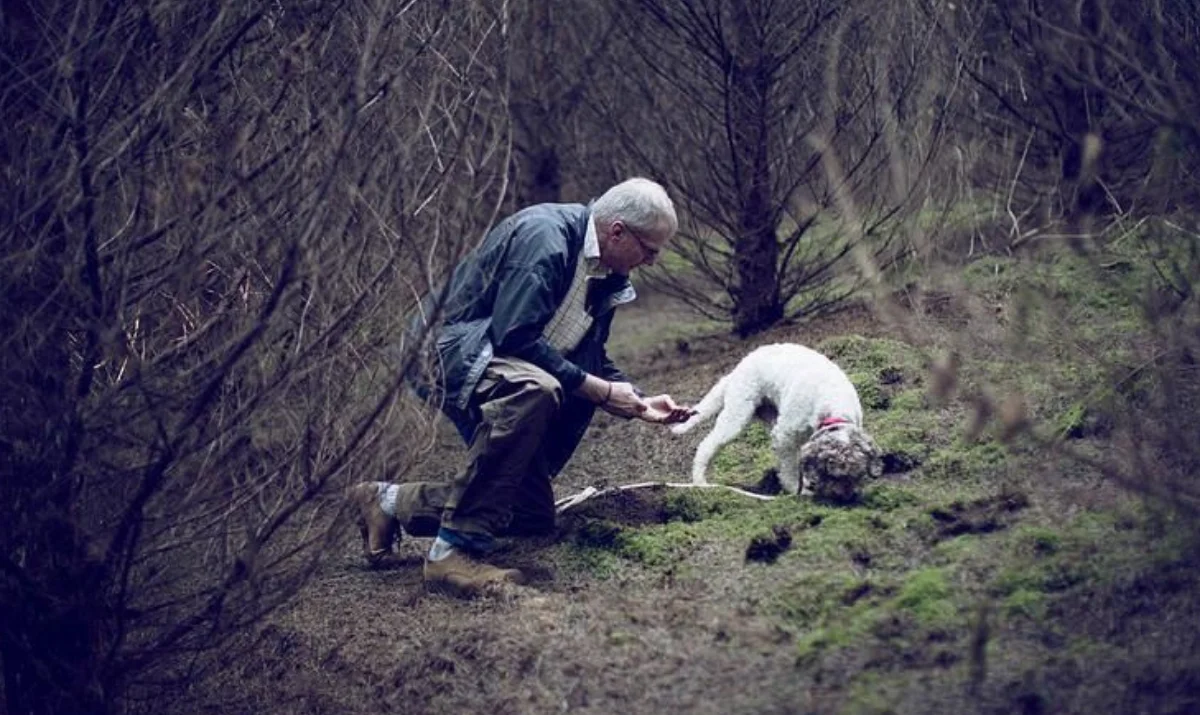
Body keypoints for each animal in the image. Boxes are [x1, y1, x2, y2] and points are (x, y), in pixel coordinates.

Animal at [676, 343, 883, 499]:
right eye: (831, 473)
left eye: (857, 475)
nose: (845, 499)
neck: (833, 404)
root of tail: (738, 368)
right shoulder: (786, 436)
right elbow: (790, 467)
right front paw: (795, 489)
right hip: (738, 414)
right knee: (707, 445)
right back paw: (700, 481)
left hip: (770, 416)